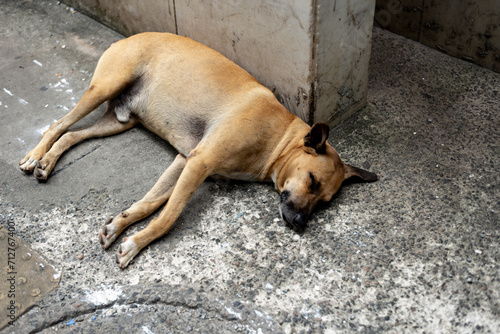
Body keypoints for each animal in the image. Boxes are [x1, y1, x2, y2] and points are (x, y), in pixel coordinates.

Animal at [21, 31, 376, 266]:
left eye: (324, 202)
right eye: (312, 181)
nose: (301, 223)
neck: (278, 140)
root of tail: (128, 37)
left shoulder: (185, 161)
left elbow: (149, 204)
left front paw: (120, 226)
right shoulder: (199, 163)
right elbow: (168, 215)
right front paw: (136, 242)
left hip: (120, 121)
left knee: (71, 135)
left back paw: (47, 162)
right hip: (105, 87)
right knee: (58, 125)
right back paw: (34, 156)